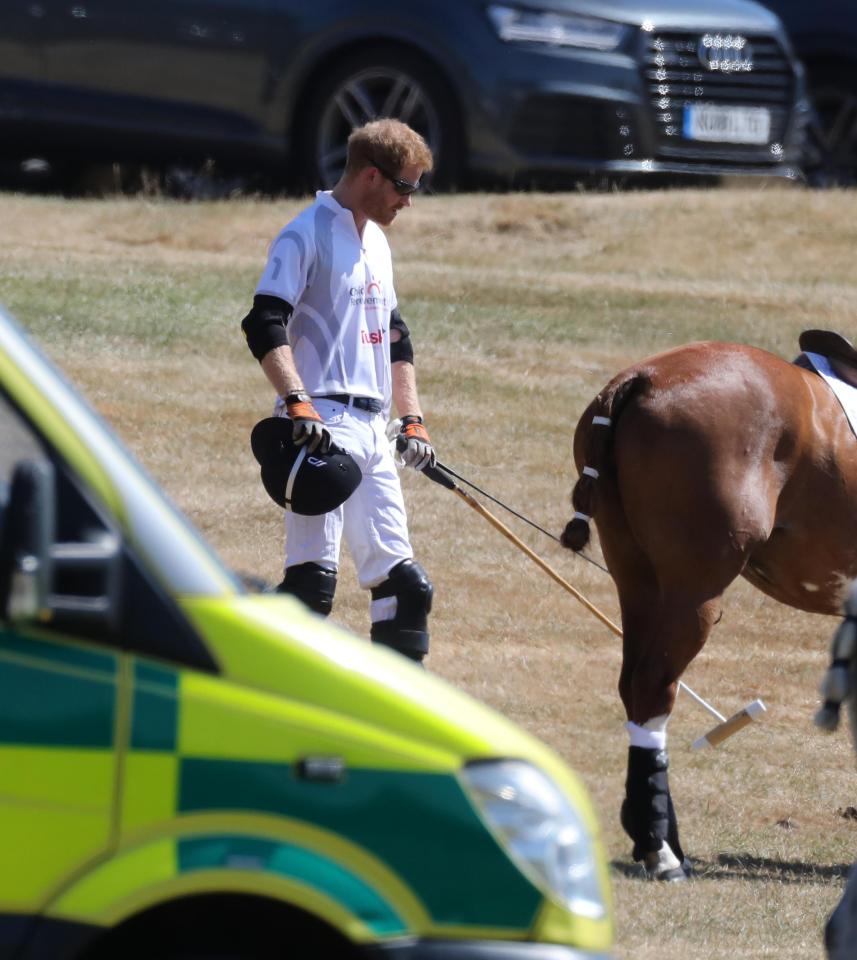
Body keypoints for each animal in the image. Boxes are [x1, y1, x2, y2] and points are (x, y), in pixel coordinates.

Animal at [560, 334, 857, 880]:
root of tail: (640, 378)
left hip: (638, 579)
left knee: (633, 687)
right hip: (694, 591)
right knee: (653, 688)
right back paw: (660, 850)